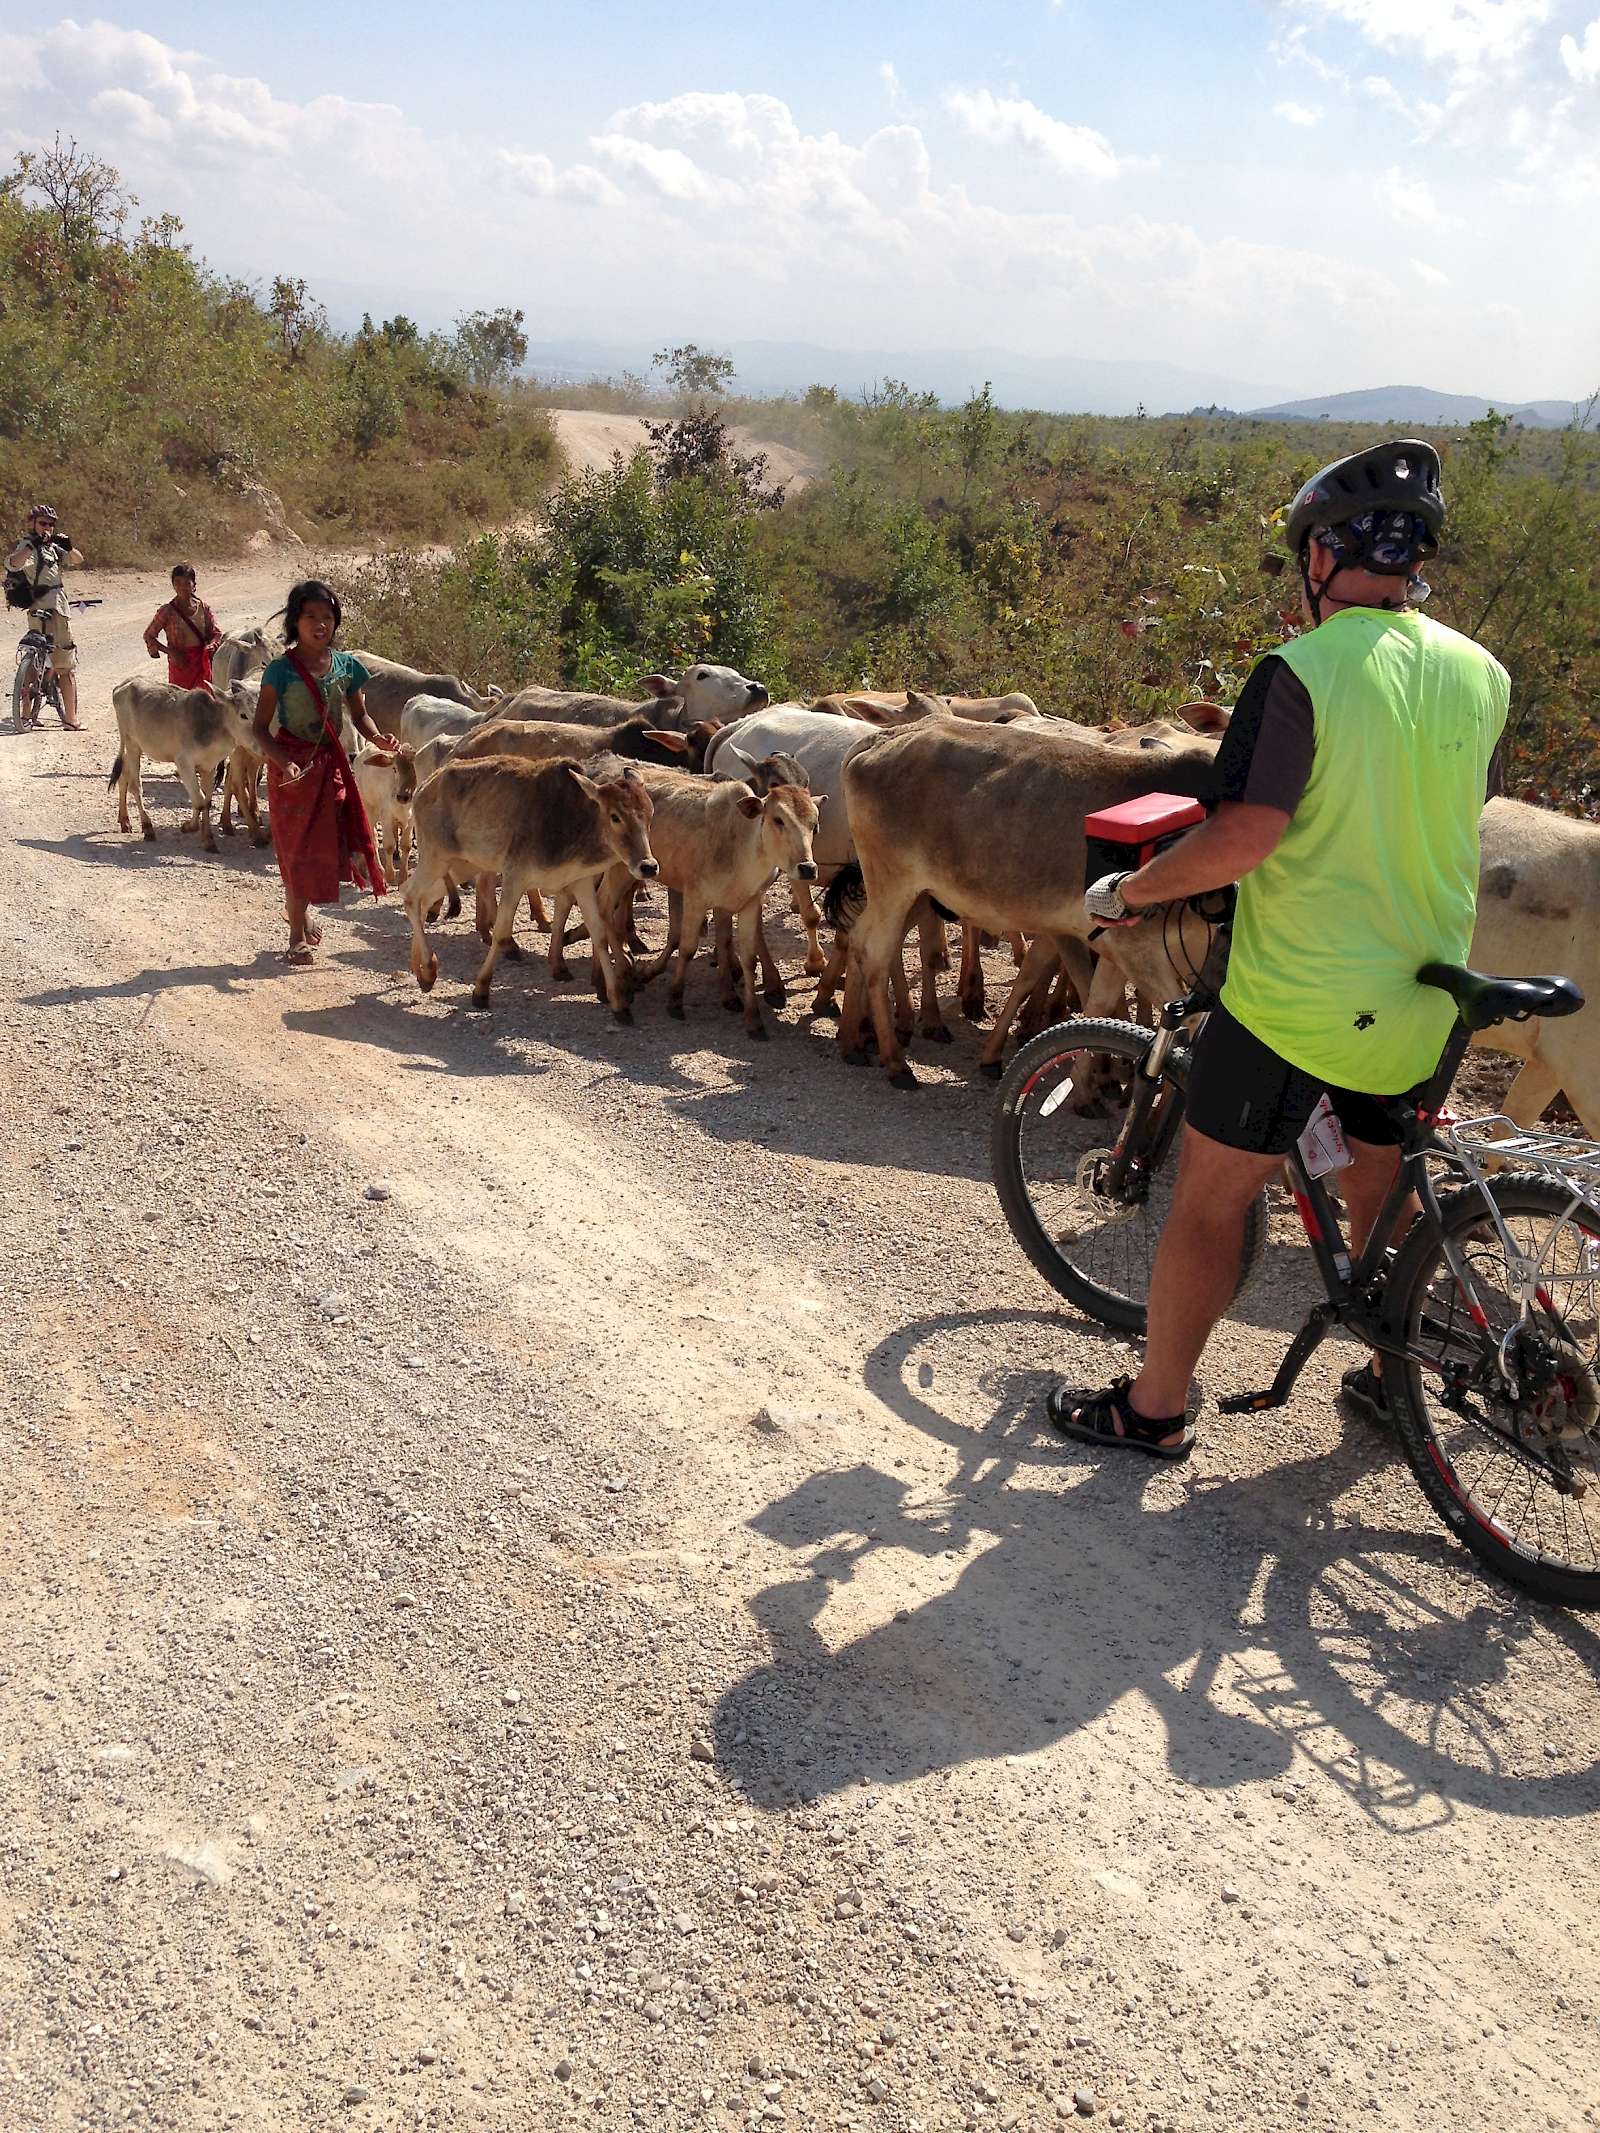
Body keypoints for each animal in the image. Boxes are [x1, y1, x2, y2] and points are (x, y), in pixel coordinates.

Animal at [407, 759, 657, 1015]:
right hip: (435, 857)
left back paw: (421, 970)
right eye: (615, 816)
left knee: (423, 900)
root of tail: (425, 785)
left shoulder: (581, 881)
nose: (648, 866)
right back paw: (427, 967)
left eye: (650, 814)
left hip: (461, 864)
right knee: (410, 896)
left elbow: (599, 935)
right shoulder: (515, 876)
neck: (571, 825)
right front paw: (481, 991)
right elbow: (501, 932)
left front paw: (619, 1003)